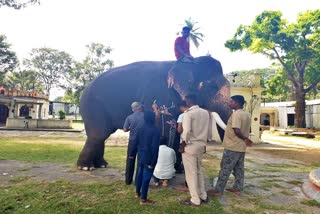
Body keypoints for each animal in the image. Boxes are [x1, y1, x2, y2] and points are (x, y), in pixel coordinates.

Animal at [76, 56, 231, 170]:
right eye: (212, 86)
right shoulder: (158, 94)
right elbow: (164, 130)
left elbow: (176, 131)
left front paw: (179, 170)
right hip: (93, 107)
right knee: (98, 135)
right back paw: (86, 168)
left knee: (100, 136)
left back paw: (101, 165)